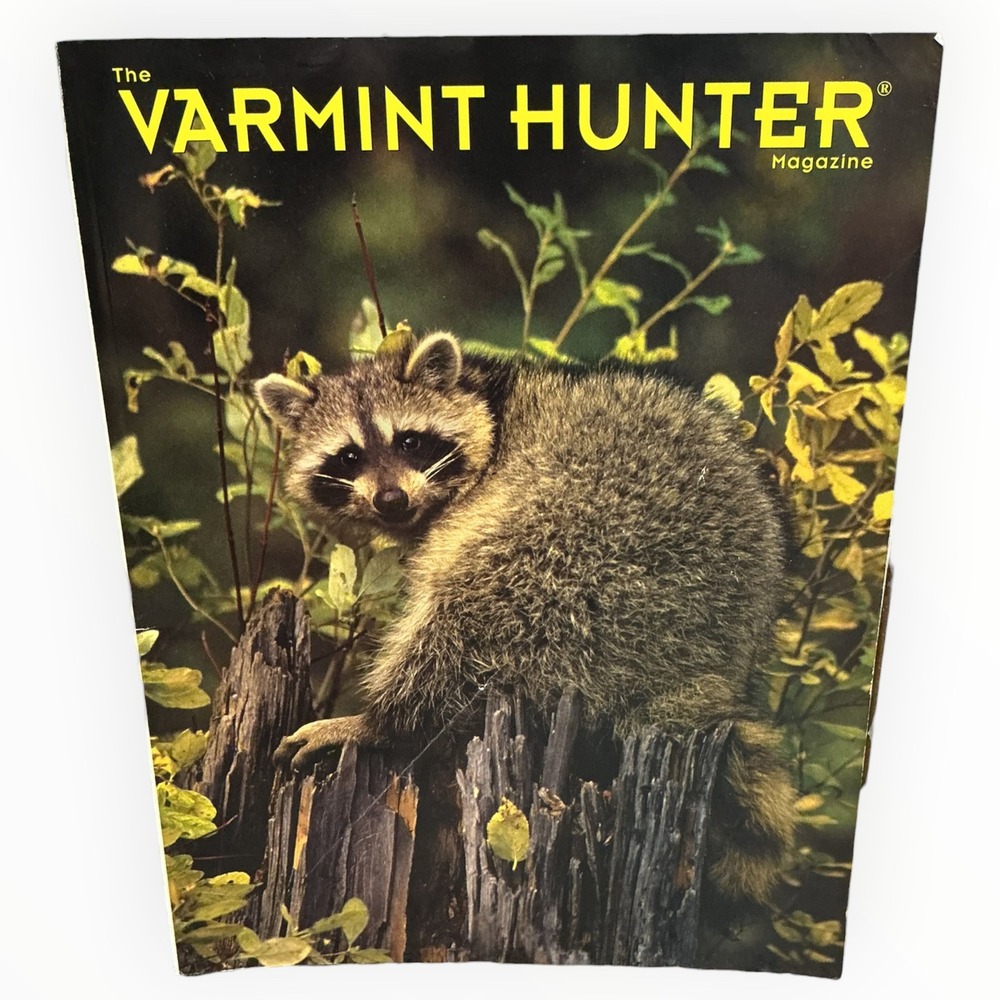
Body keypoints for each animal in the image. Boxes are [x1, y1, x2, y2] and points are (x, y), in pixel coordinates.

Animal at [255, 331, 796, 903]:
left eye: (409, 442)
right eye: (349, 456)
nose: (391, 499)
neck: (491, 398)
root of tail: (695, 663)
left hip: (589, 554)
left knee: (466, 616)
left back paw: (386, 720)